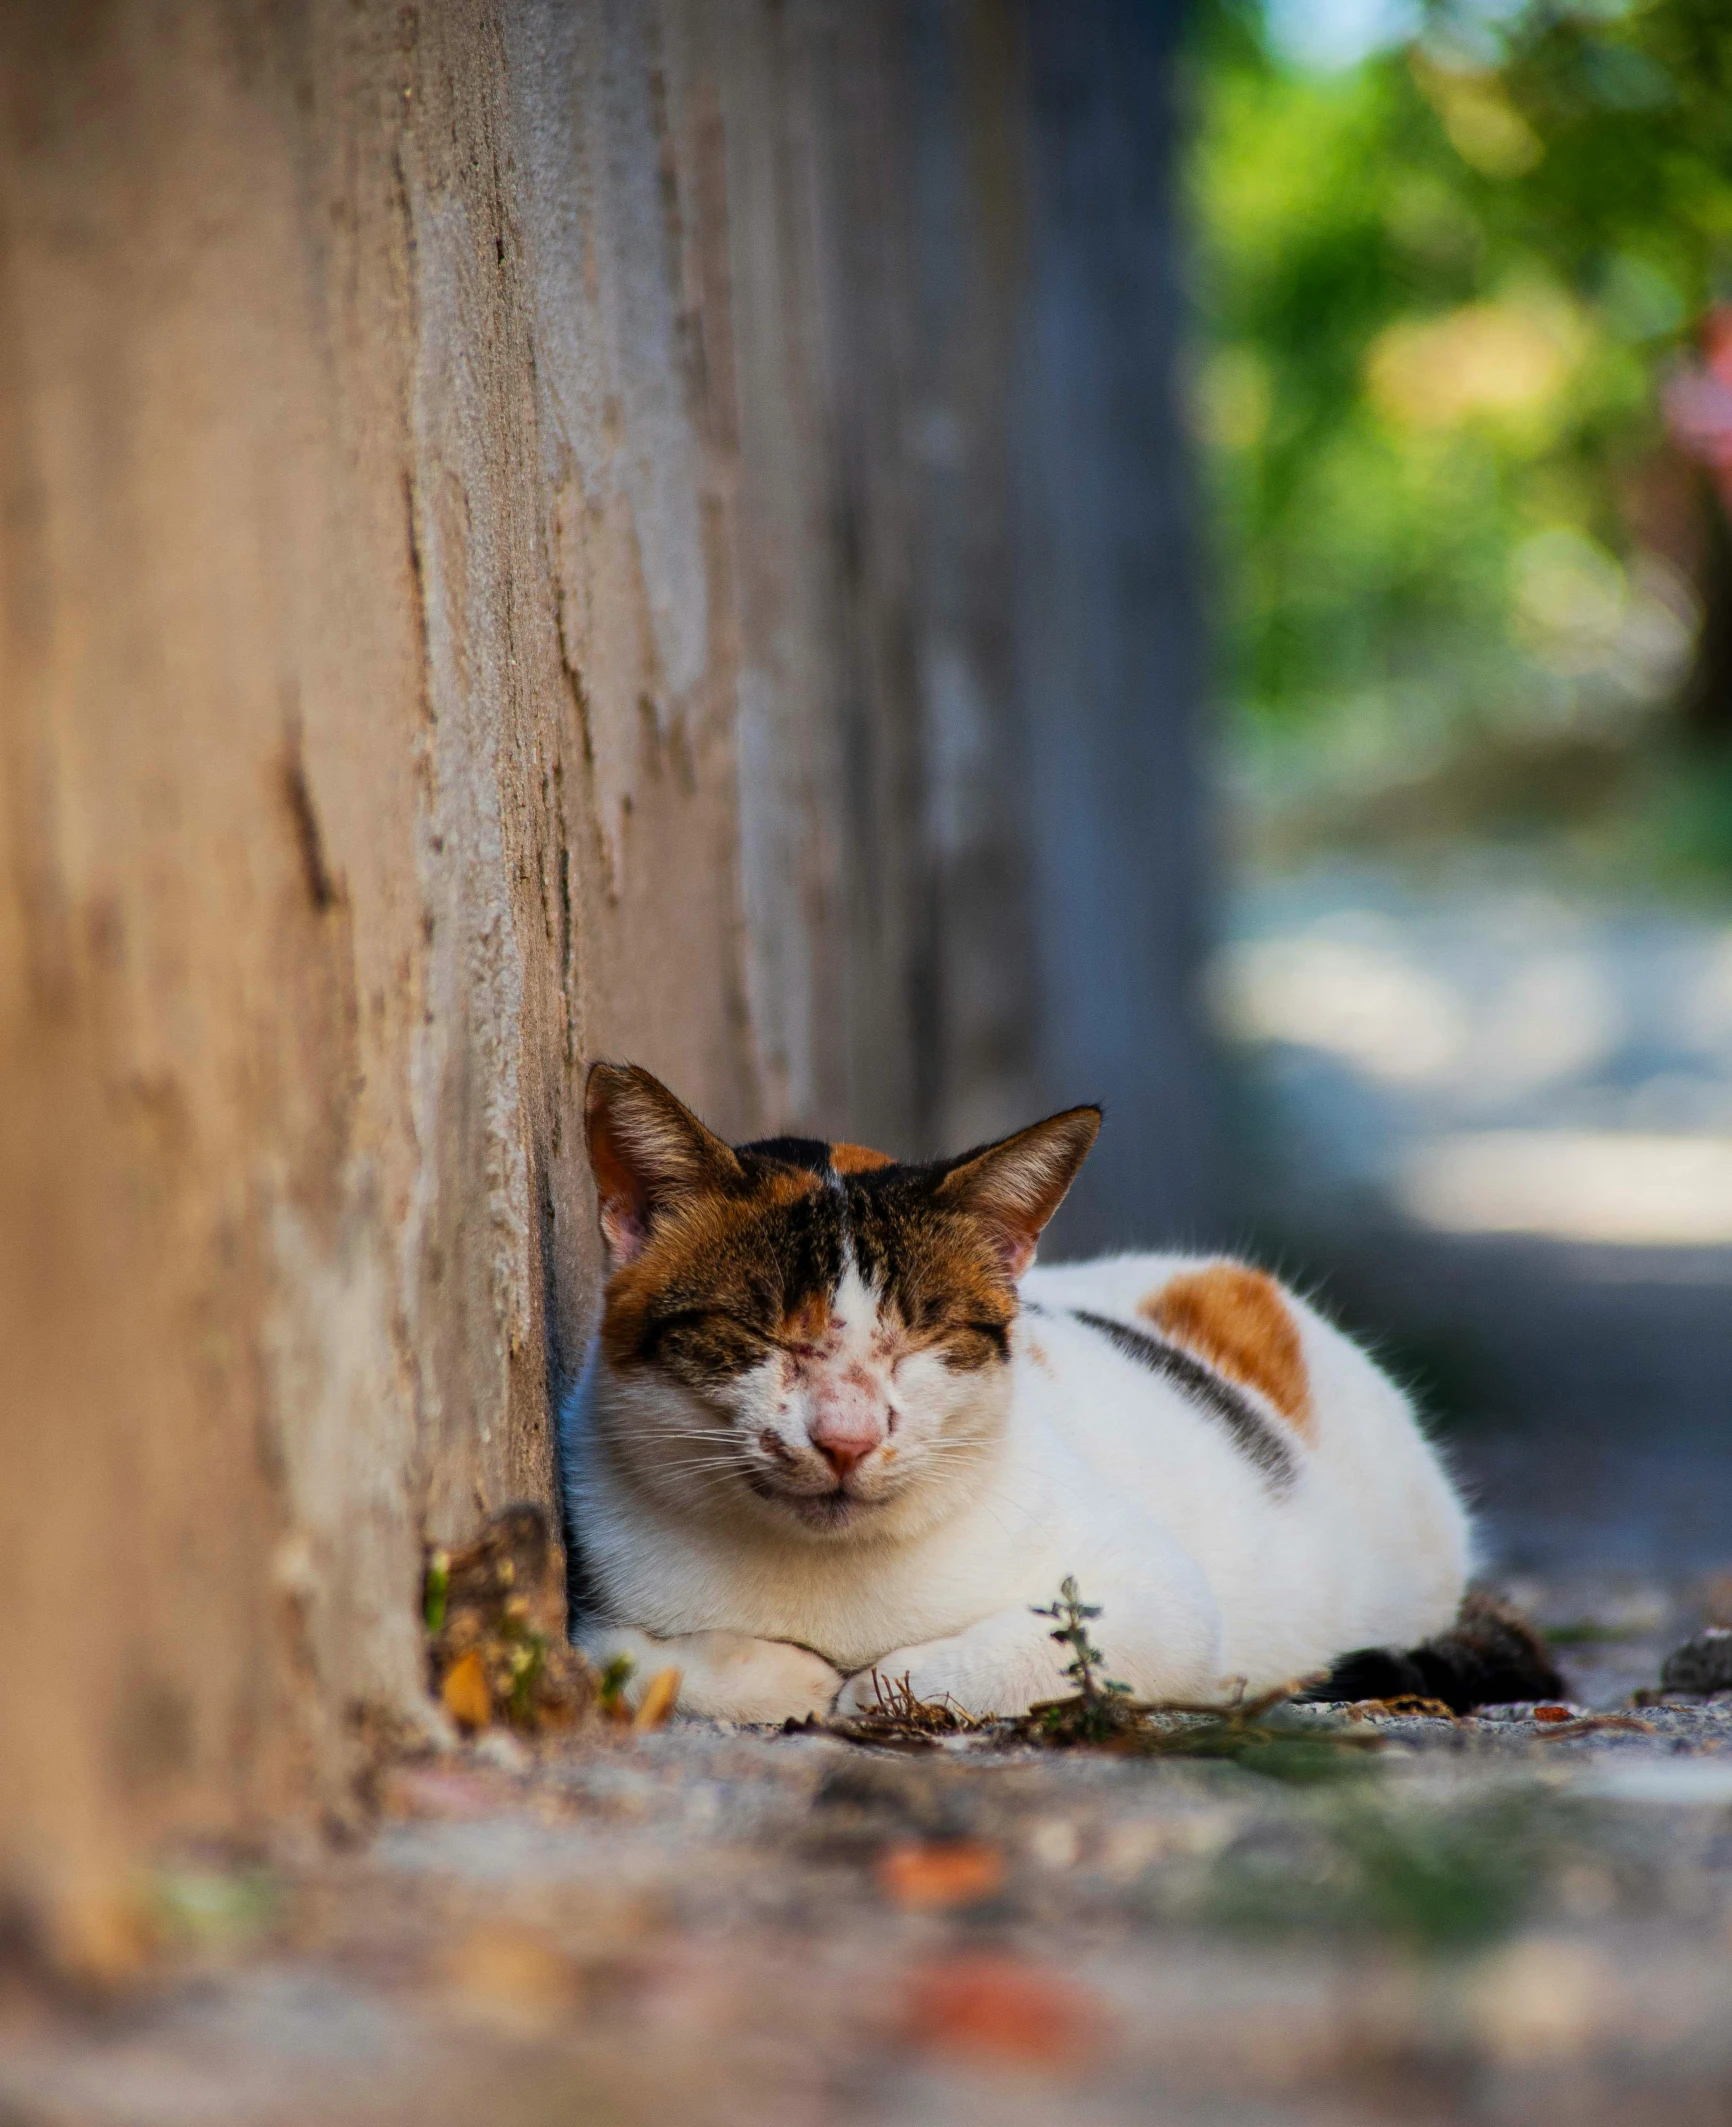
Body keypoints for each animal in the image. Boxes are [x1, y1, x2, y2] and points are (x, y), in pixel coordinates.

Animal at [561, 1063, 1489, 1727]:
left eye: (924, 1337)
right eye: (762, 1331)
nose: (848, 1437)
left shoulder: (1163, 1601)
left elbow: (1034, 1650)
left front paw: (877, 1687)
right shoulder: (589, 1585)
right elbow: (626, 1660)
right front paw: (789, 1676)